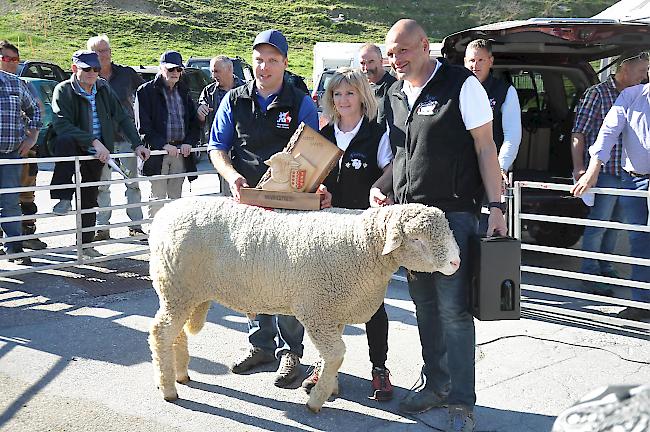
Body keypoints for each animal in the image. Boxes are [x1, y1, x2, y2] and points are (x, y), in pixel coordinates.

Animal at [147, 196, 460, 412]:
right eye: (417, 239)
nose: (456, 262)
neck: (361, 244)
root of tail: (164, 213)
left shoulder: (333, 311)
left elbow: (331, 356)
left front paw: (328, 387)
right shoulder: (317, 310)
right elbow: (336, 354)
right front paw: (317, 400)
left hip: (185, 294)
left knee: (175, 333)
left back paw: (181, 374)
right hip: (176, 288)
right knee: (160, 333)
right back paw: (168, 388)